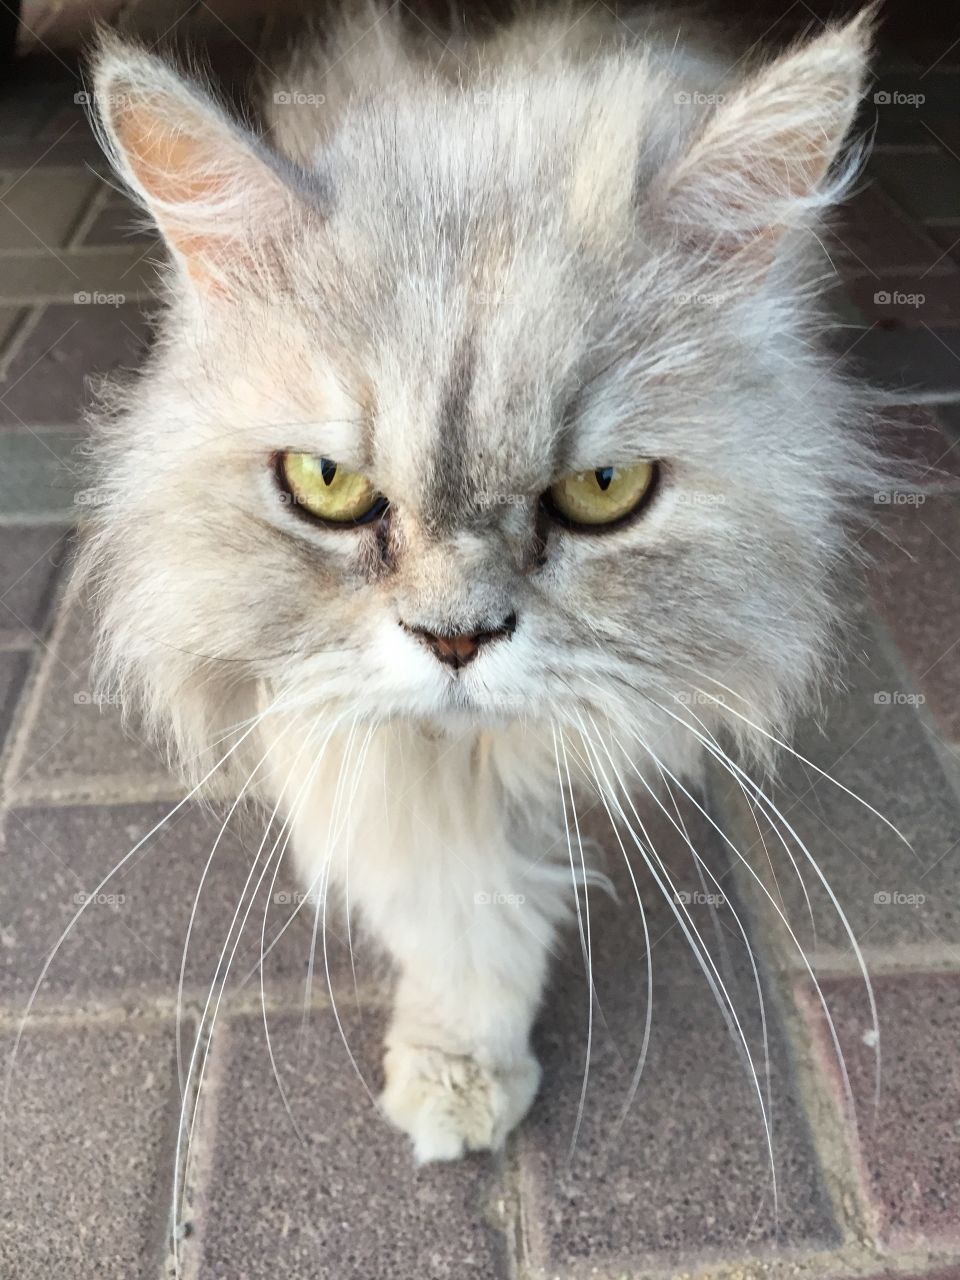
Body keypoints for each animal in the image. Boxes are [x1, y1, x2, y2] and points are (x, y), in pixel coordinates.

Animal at [79, 0, 885, 1167]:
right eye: (328, 484)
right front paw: (458, 1063)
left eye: (604, 488)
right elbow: (454, 898)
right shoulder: (337, 713)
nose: (455, 641)